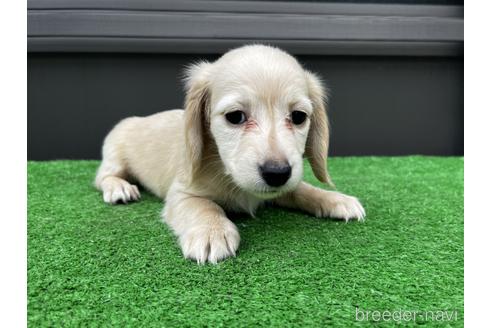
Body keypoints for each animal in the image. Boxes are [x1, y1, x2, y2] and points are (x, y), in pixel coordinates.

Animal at [95, 44, 366, 264]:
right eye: (235, 116)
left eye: (298, 116)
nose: (277, 173)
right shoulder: (181, 193)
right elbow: (203, 205)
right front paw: (211, 231)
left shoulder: (285, 185)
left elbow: (301, 189)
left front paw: (334, 199)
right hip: (115, 156)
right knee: (102, 177)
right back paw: (119, 188)